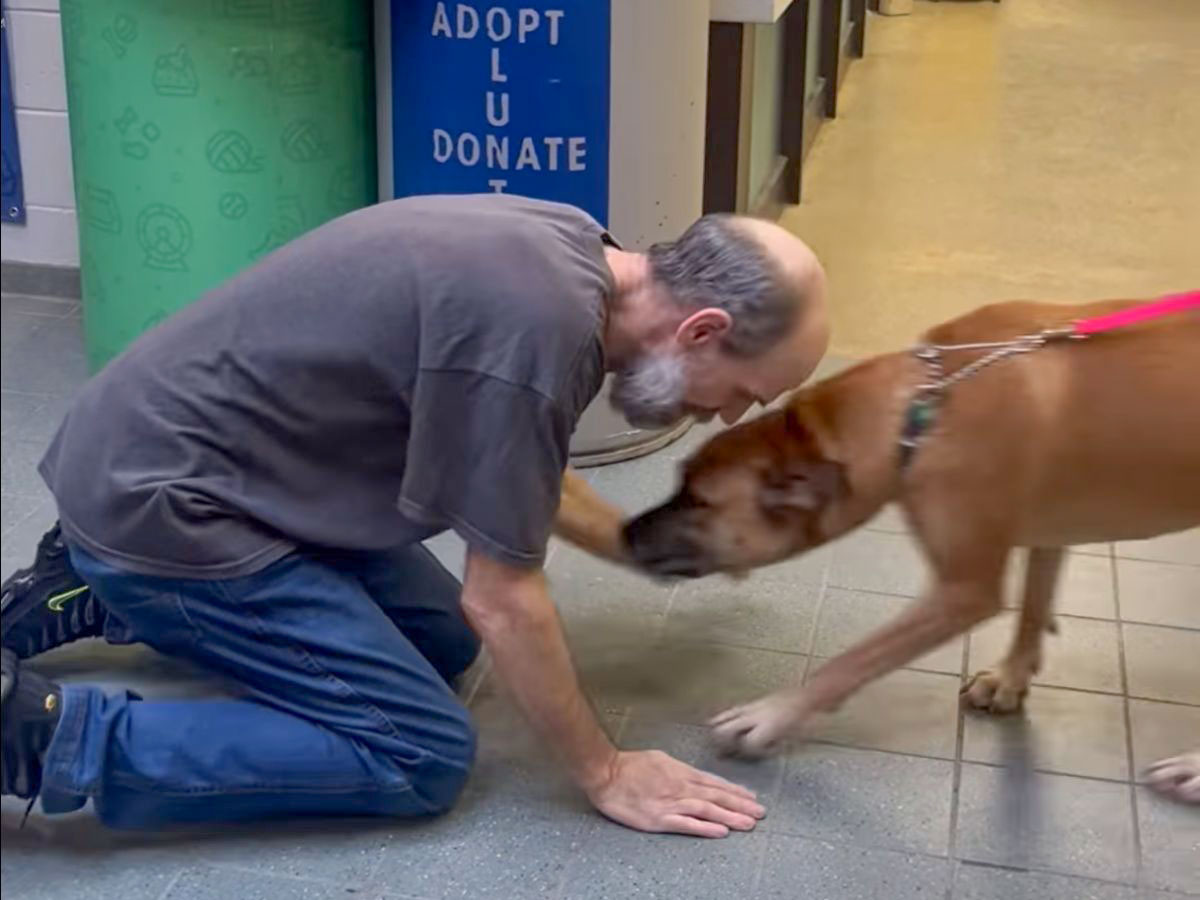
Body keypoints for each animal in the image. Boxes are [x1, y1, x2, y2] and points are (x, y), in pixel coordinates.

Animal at [619, 301, 1200, 801]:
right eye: (679, 484)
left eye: (698, 502)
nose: (625, 531)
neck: (923, 409)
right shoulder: (1045, 530)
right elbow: (1033, 606)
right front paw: (1012, 677)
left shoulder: (962, 592)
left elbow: (851, 661)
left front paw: (770, 714)